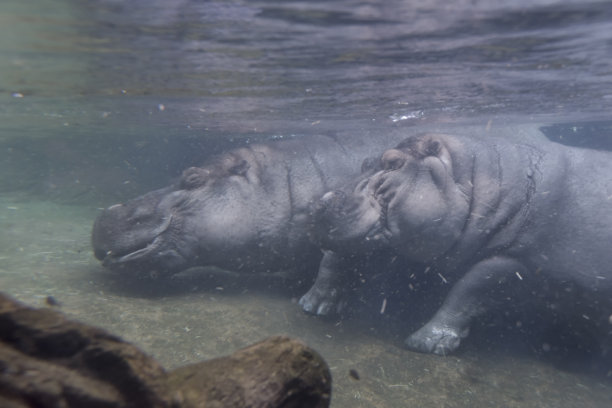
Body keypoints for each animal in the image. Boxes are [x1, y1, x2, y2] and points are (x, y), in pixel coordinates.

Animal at [300, 129, 612, 356]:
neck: (481, 179)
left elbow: (469, 289)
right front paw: (313, 304)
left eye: (393, 162)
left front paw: (425, 342)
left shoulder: (519, 260)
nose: (317, 203)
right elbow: (336, 256)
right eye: (365, 162)